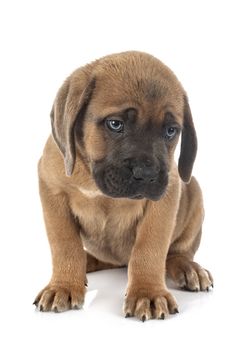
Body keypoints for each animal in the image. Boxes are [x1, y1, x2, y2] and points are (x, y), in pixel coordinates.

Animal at [33, 50, 213, 322]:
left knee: (176, 252)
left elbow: (149, 247)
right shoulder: (52, 190)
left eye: (171, 131)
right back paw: (87, 263)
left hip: (194, 193)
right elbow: (65, 244)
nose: (147, 174)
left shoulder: (166, 198)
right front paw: (63, 284)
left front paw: (147, 292)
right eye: (115, 124)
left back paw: (187, 267)